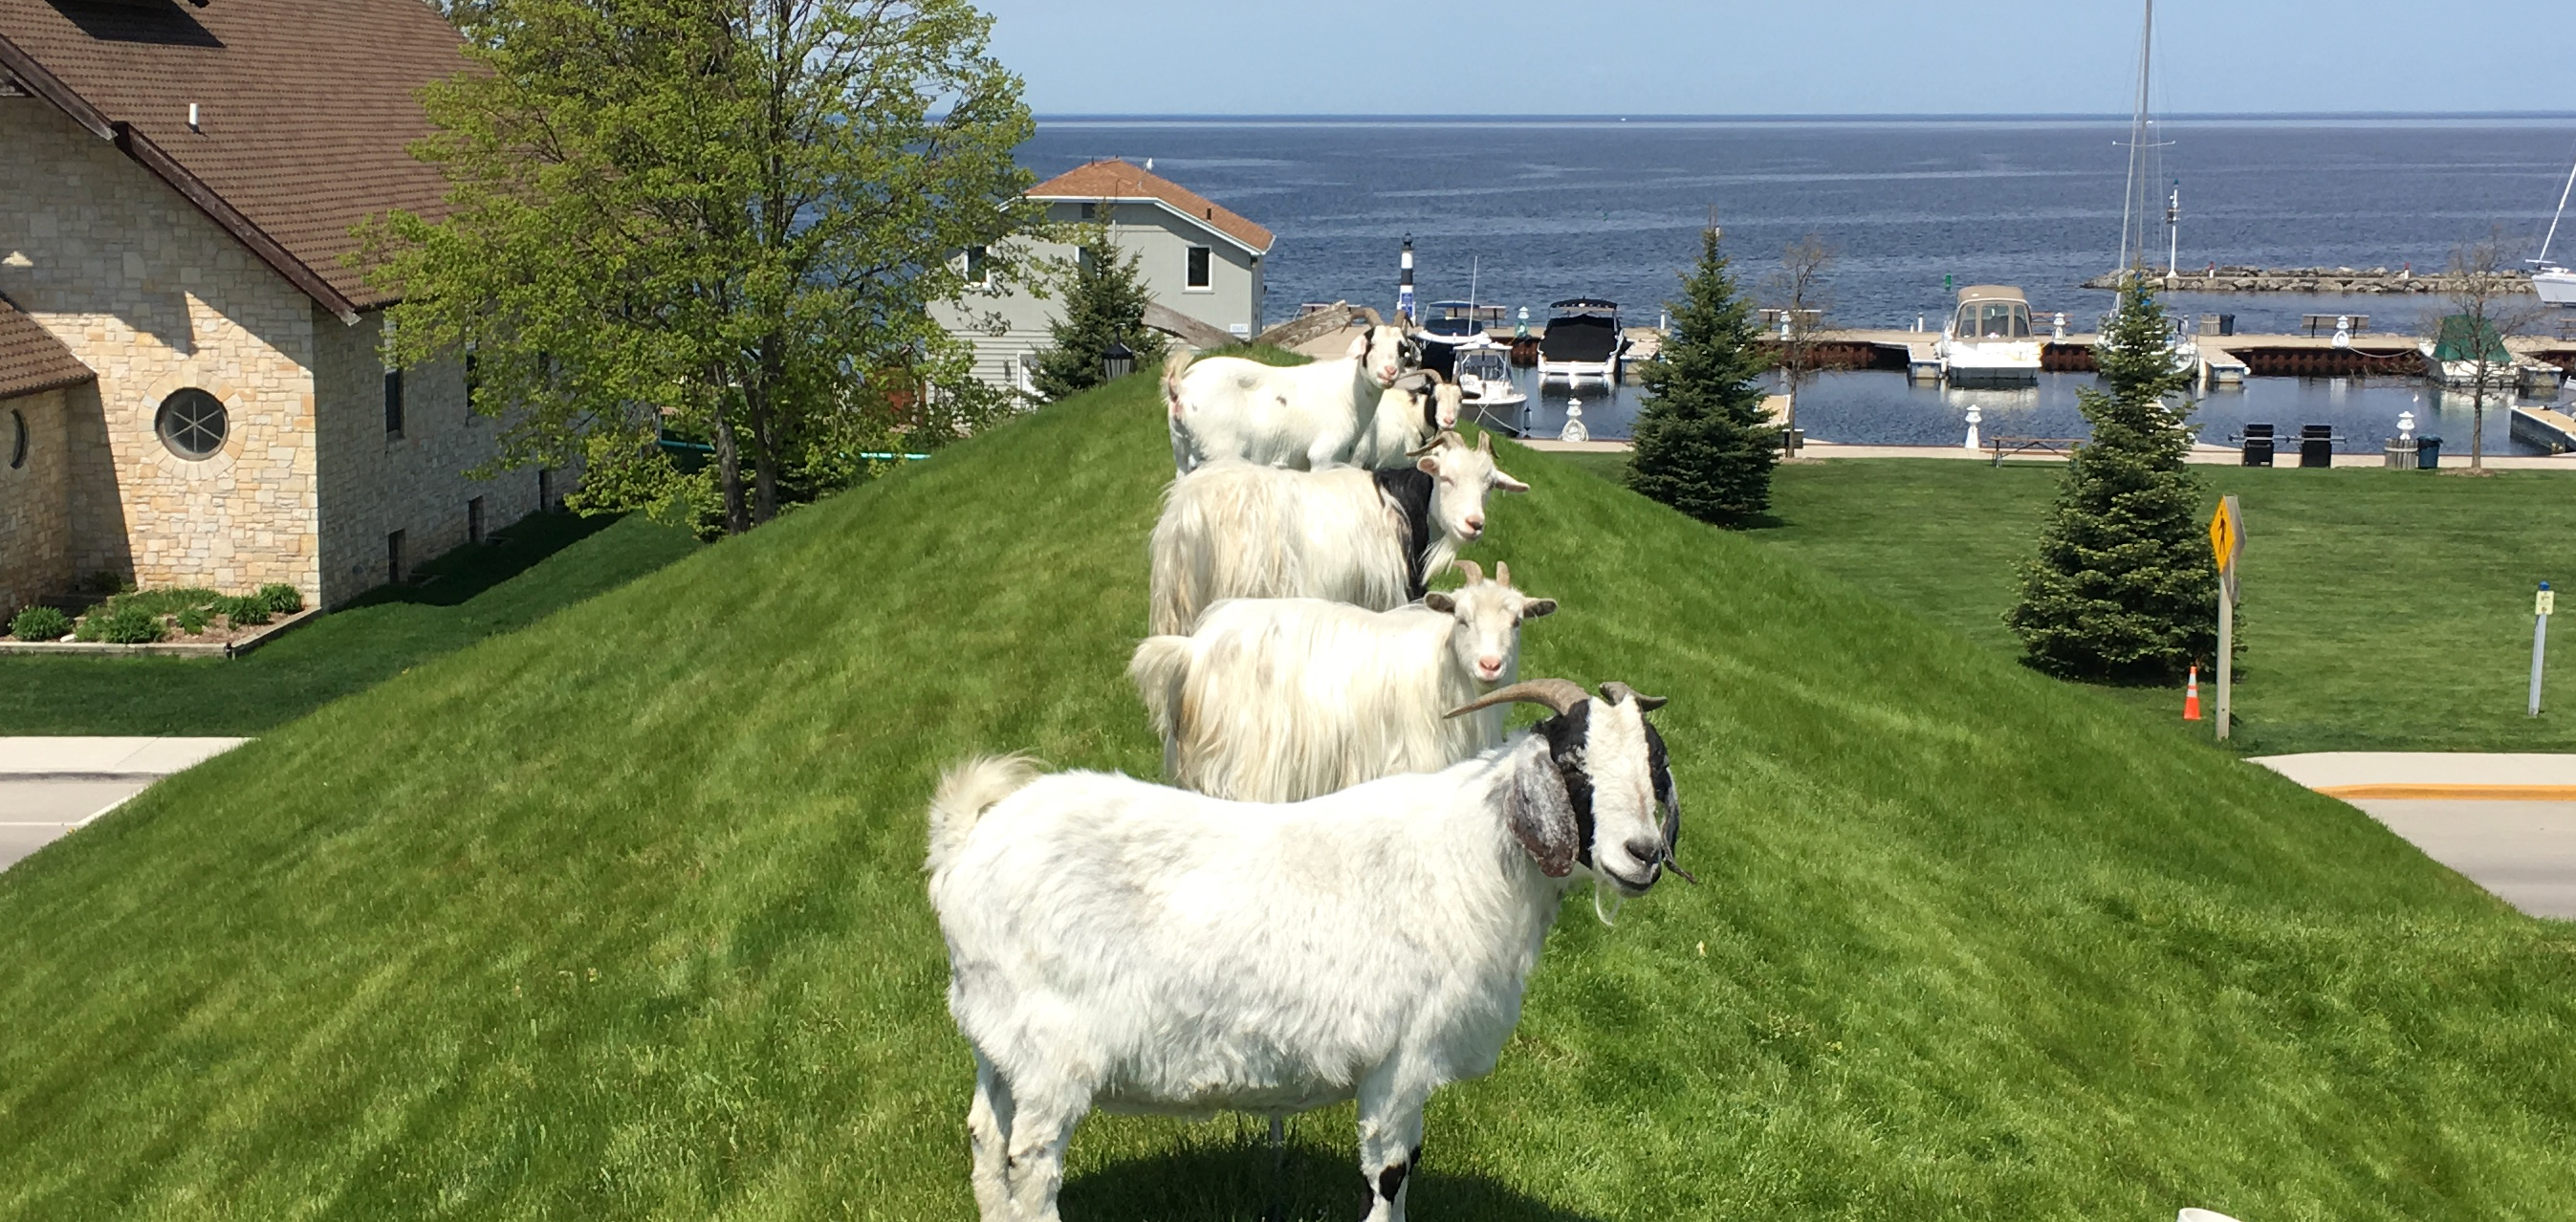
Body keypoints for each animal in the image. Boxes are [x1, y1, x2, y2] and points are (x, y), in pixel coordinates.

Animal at [927, 675, 1690, 1222]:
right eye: (1573, 762)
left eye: (1655, 767)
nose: (1643, 855)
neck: (1473, 858)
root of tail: (968, 845)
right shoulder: (1401, 1060)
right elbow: (1390, 1175)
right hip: (1052, 1055)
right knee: (1031, 1165)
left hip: (997, 1042)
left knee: (985, 1142)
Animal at [1127, 556, 1545, 804]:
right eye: (1462, 619)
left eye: (1516, 622)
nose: (1490, 665)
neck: (1442, 662)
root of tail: (1193, 649)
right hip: (1246, 762)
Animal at [1164, 324, 1411, 471]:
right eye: (1371, 344)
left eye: (1402, 348)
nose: (1389, 372)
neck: (1349, 392)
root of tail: (1181, 387)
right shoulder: (1324, 456)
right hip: (1220, 450)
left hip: (1180, 452)